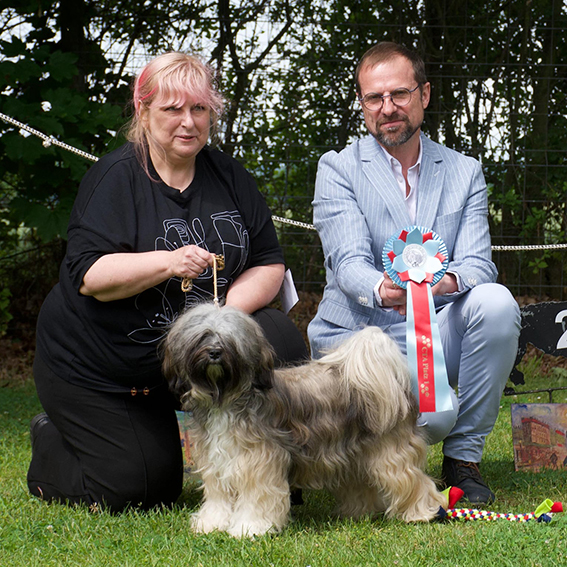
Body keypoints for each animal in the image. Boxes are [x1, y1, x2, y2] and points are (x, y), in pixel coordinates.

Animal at [163, 303, 446, 537]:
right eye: (203, 335)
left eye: (230, 339)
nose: (214, 352)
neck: (226, 399)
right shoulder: (217, 462)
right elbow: (218, 497)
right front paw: (212, 523)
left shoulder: (260, 464)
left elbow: (257, 499)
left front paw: (249, 527)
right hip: (352, 453)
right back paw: (358, 512)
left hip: (390, 453)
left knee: (412, 480)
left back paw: (422, 512)